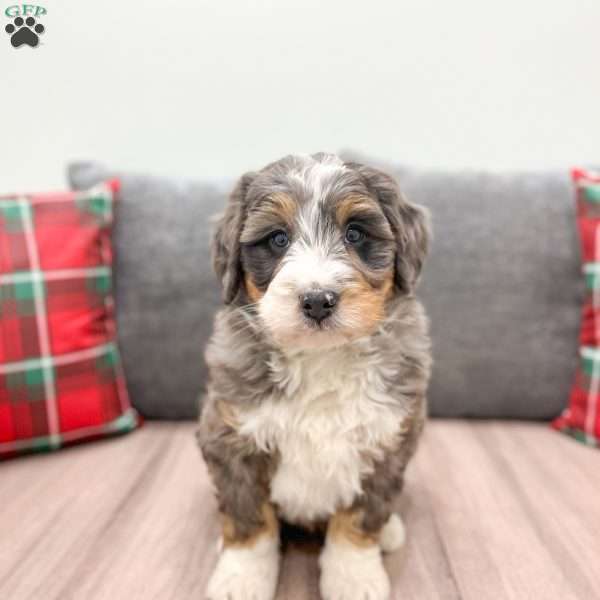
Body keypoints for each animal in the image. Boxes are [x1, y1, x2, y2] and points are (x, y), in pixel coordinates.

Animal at [198, 154, 432, 600]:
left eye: (355, 233)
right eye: (277, 239)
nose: (318, 300)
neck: (321, 358)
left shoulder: (387, 440)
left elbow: (360, 518)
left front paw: (355, 578)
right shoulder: (231, 436)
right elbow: (249, 515)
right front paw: (240, 577)